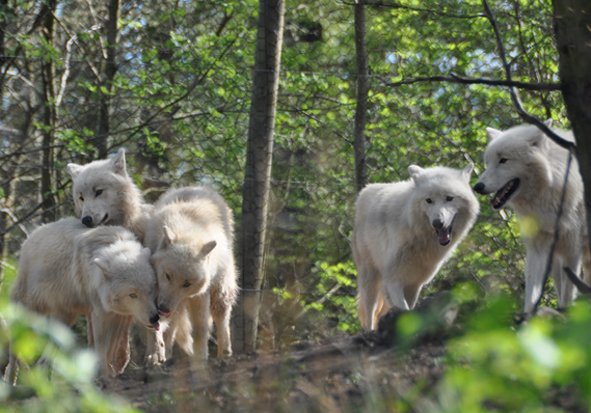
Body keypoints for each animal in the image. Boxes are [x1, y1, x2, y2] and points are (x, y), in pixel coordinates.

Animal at [4, 219, 161, 380]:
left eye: (150, 289)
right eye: (132, 295)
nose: (155, 318)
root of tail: (31, 236)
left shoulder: (117, 316)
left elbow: (109, 350)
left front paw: (107, 375)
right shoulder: (99, 315)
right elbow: (101, 351)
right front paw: (103, 376)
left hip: (64, 322)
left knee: (44, 361)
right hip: (29, 311)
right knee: (14, 349)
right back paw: (11, 379)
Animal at [143, 185, 238, 366]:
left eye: (187, 283)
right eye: (167, 275)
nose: (163, 308)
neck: (187, 232)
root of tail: (198, 187)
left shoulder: (199, 295)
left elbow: (201, 330)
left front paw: (201, 361)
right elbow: (157, 328)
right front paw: (156, 357)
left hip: (219, 290)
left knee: (222, 318)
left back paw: (225, 354)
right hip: (179, 303)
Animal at [354, 163, 478, 328]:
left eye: (449, 198)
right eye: (428, 200)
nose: (438, 223)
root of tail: (365, 190)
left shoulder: (415, 284)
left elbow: (409, 309)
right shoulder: (393, 280)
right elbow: (403, 309)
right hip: (370, 278)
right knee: (370, 315)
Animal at [474, 120, 591, 312]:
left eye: (503, 160)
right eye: (487, 163)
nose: (477, 187)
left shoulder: (572, 250)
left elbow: (568, 294)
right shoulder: (538, 247)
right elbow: (532, 292)